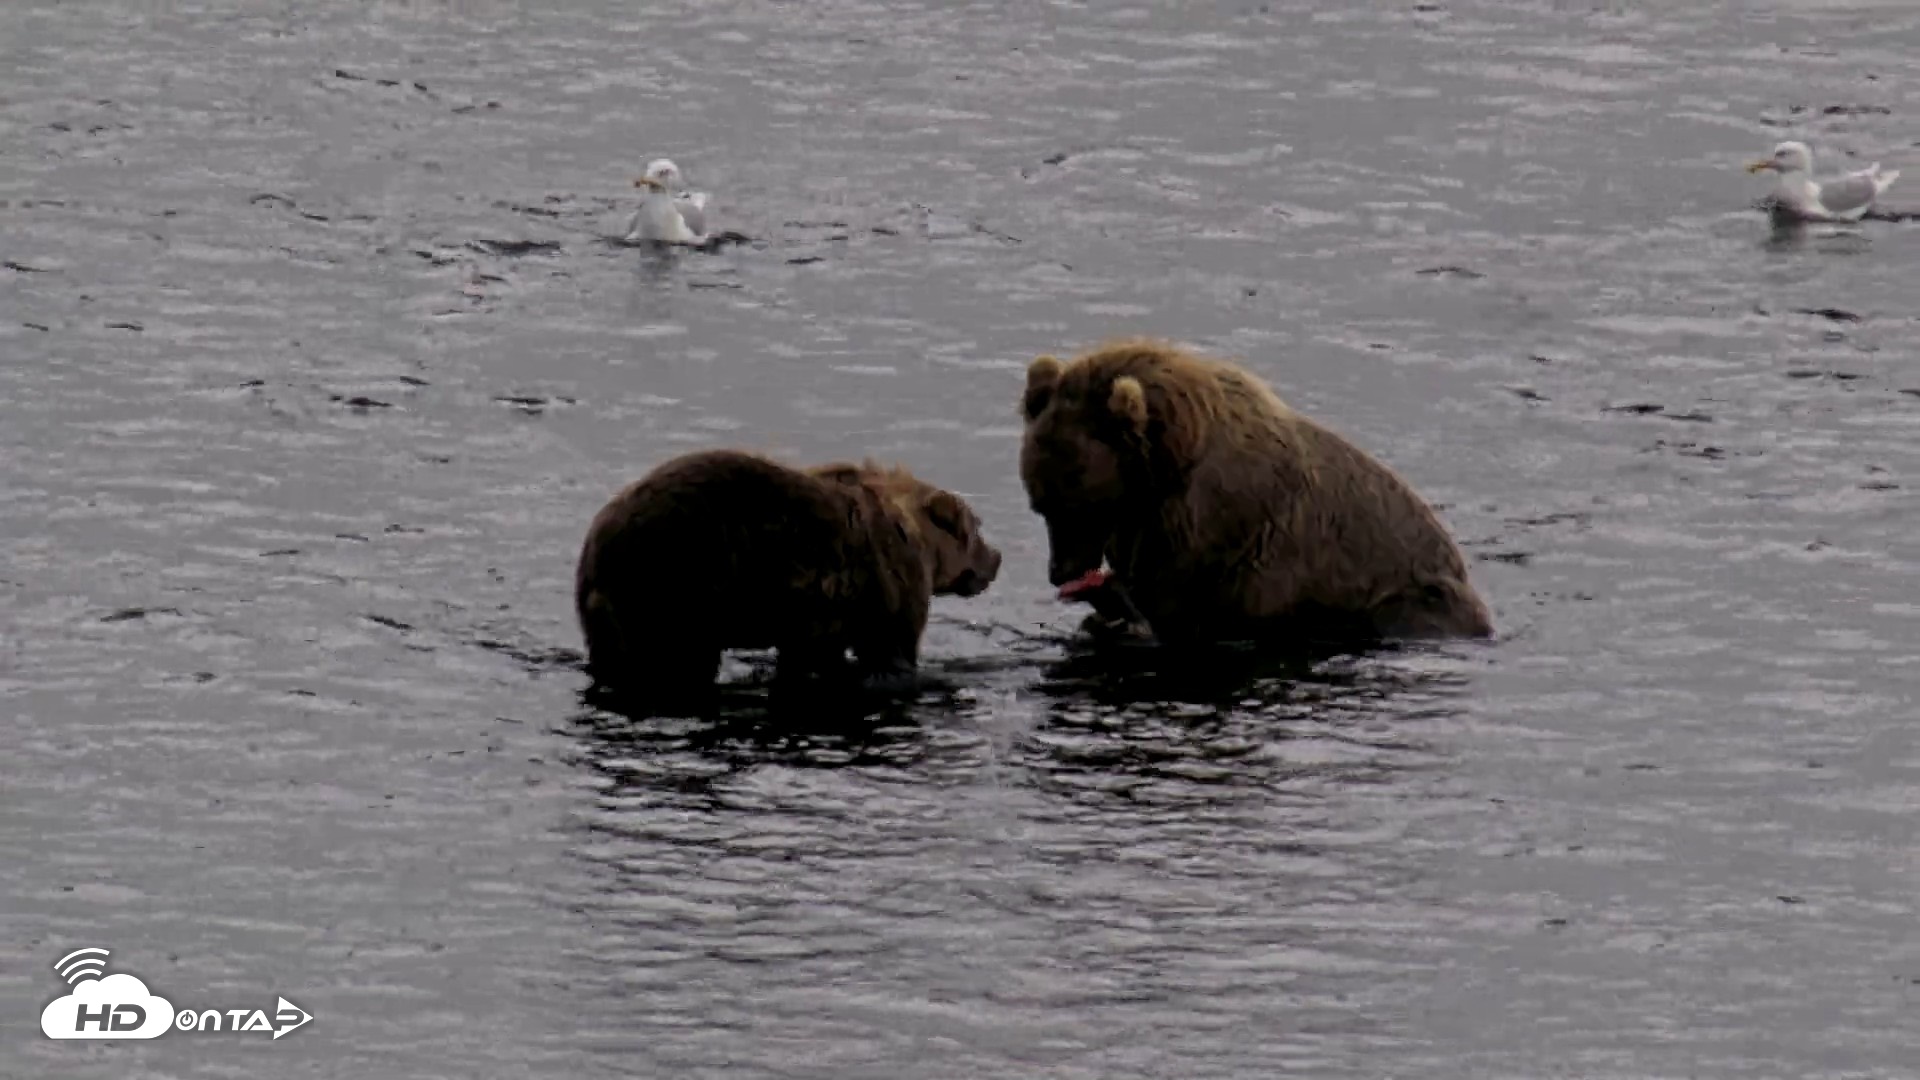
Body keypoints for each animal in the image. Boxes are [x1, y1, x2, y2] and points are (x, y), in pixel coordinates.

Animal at [575, 448, 1002, 703]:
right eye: (977, 528)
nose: (996, 559)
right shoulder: (887, 588)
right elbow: (892, 651)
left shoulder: (818, 612)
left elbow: (810, 653)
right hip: (681, 581)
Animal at [1017, 338, 1493, 648]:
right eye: (1041, 505)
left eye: (1078, 503)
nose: (1059, 570)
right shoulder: (1143, 519)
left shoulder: (1216, 521)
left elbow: (1177, 602)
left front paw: (1117, 607)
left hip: (1416, 595)